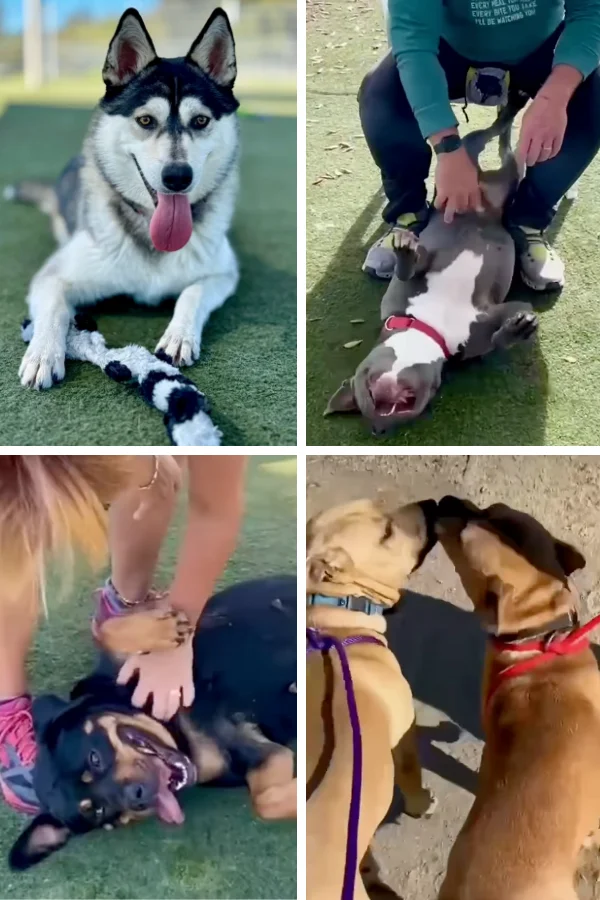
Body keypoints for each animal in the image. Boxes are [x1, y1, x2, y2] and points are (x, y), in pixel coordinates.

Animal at [6, 7, 239, 388]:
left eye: (201, 120)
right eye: (145, 120)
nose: (178, 177)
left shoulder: (224, 272)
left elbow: (192, 294)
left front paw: (180, 335)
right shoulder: (52, 277)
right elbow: (55, 308)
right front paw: (43, 354)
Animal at [9, 580, 298, 868]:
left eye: (94, 758)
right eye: (101, 812)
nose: (137, 797)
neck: (174, 726)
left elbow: (107, 628)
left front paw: (164, 629)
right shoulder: (252, 755)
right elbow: (263, 802)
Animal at [328, 96, 540, 434]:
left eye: (369, 393)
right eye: (372, 403)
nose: (383, 415)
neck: (429, 324)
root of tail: (486, 197)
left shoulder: (422, 270)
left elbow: (409, 268)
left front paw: (404, 250)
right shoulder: (494, 318)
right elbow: (498, 339)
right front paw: (516, 331)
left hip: (470, 156)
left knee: (488, 135)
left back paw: (511, 106)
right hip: (510, 176)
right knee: (507, 149)